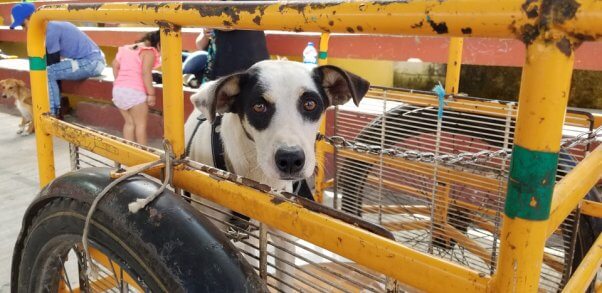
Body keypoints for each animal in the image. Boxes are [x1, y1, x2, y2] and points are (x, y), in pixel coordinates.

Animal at [185, 59, 368, 288]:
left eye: (310, 104)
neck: (256, 177)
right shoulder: (213, 225)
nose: (290, 160)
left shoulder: (284, 237)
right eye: (259, 106)